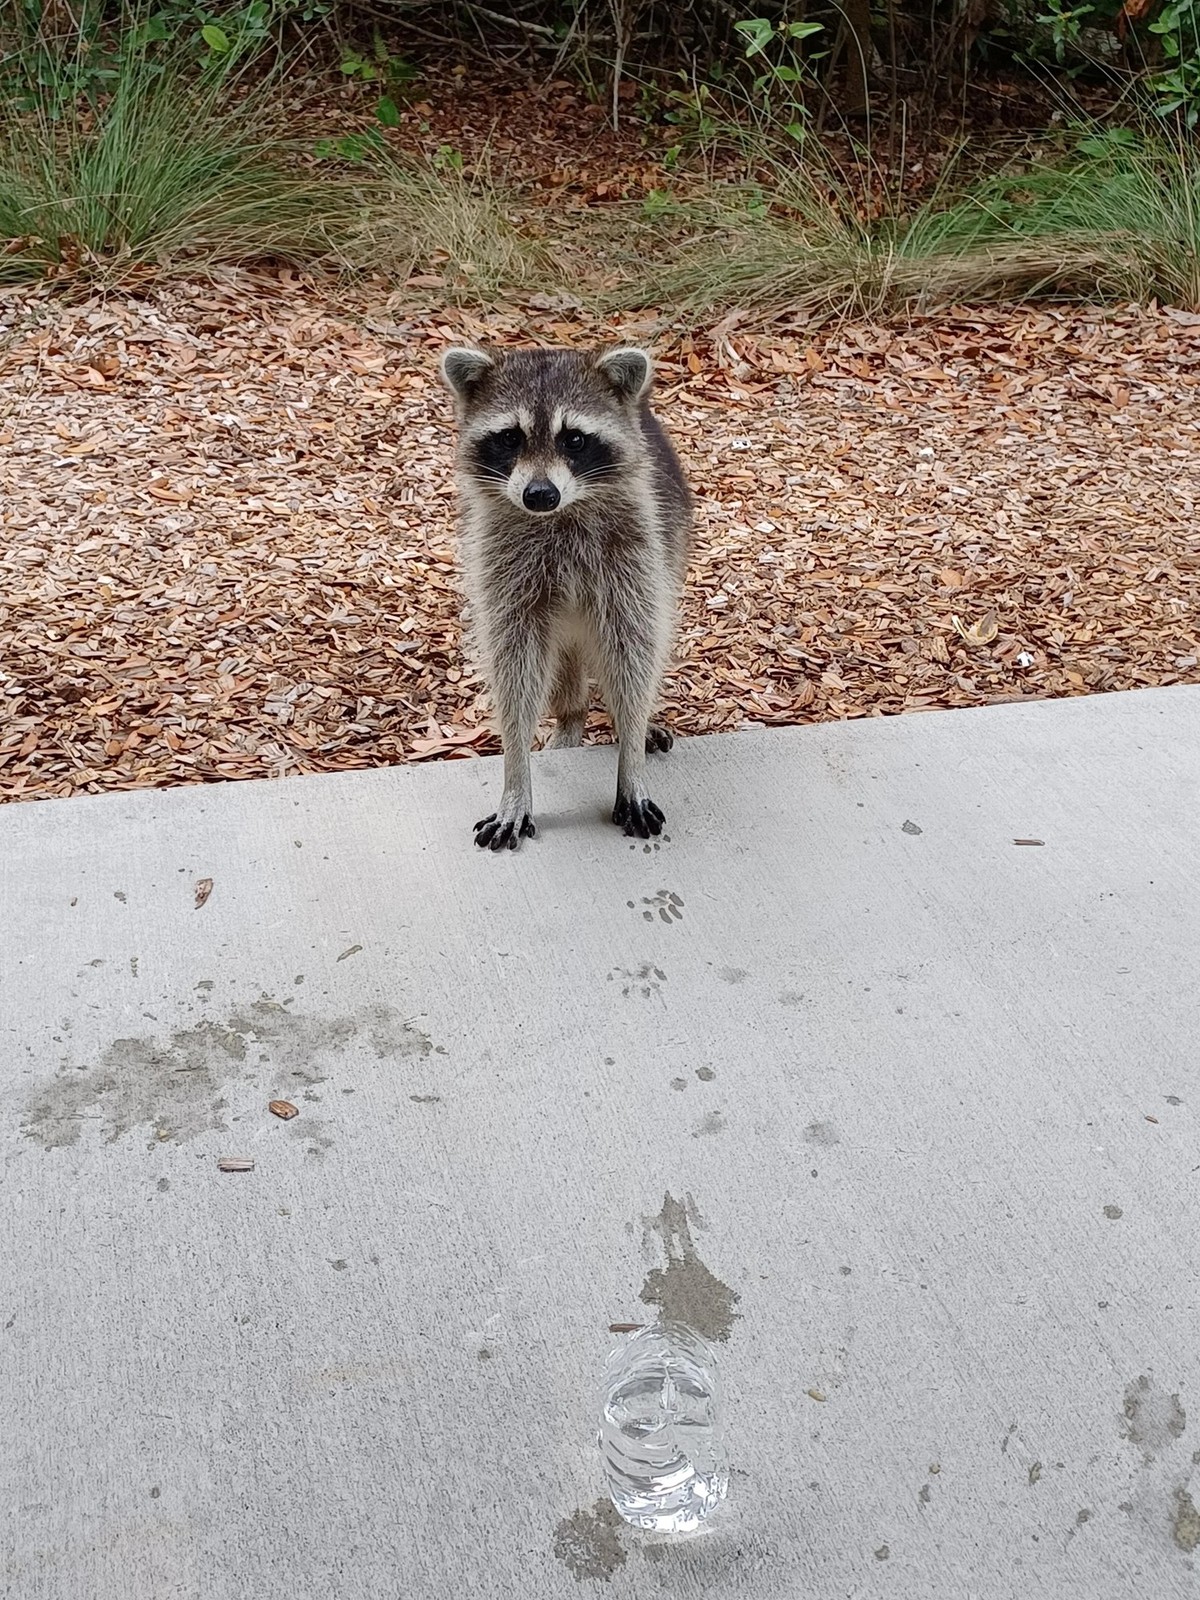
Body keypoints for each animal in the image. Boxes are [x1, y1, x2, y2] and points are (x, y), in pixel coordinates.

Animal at [439, 344, 693, 850]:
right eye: (510, 438)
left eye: (574, 440)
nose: (540, 495)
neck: (561, 515)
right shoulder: (504, 568)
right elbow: (514, 667)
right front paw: (516, 777)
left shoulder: (634, 556)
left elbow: (634, 651)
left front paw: (630, 758)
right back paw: (571, 716)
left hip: (667, 545)